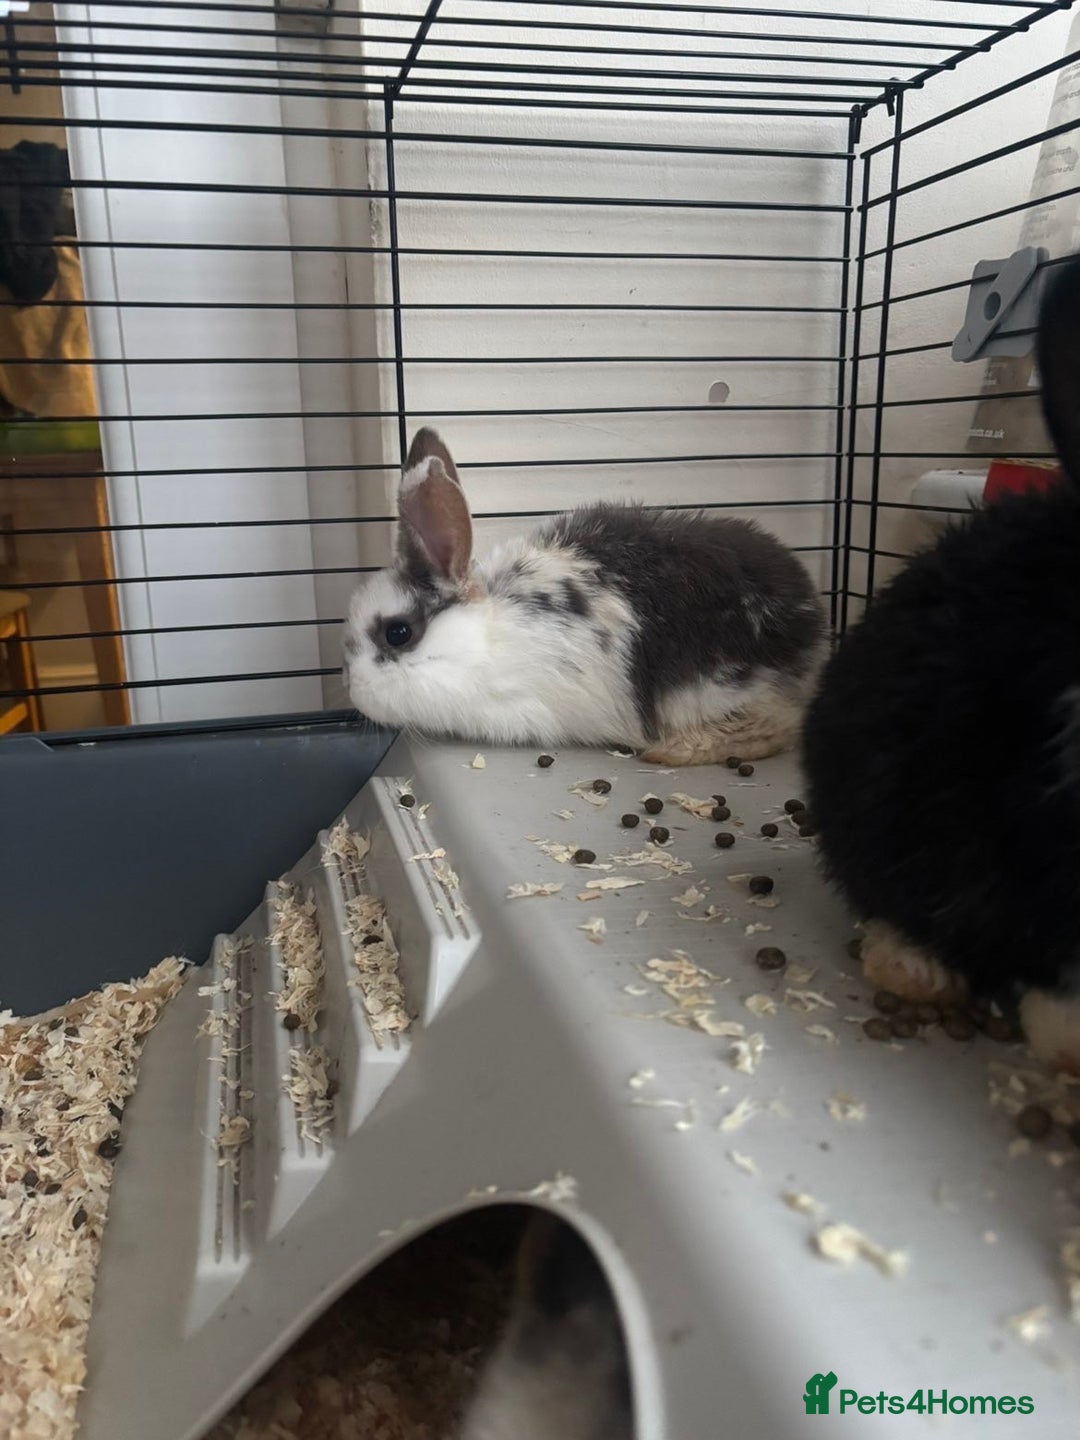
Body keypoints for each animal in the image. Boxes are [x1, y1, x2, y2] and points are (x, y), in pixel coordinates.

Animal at [344, 429, 826, 766]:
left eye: (398, 633)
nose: (351, 687)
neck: (486, 640)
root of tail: (816, 620)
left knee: (781, 725)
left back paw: (674, 750)